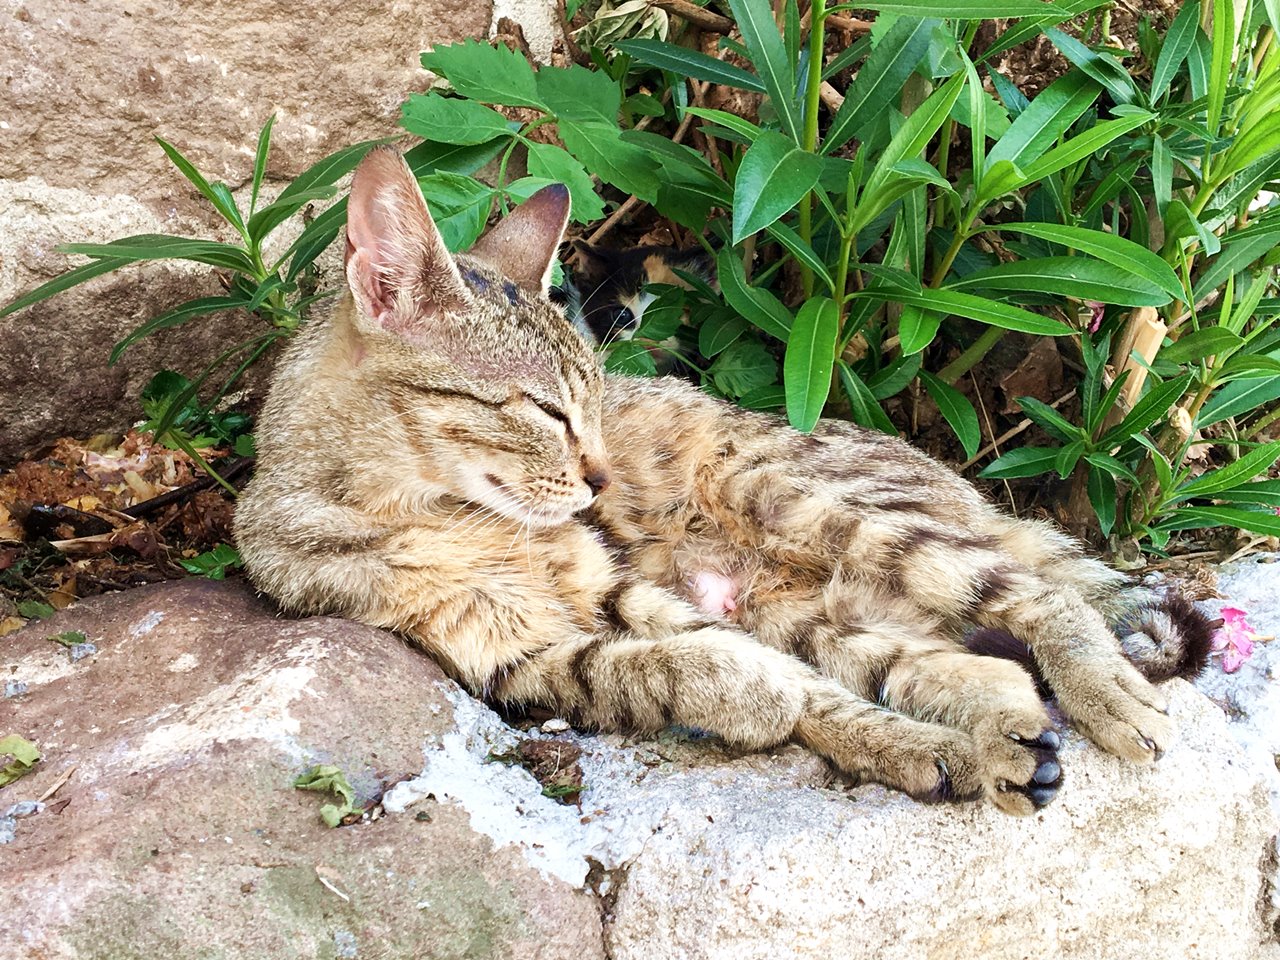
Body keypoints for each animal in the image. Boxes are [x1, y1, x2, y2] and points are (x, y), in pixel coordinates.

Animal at [238, 146, 1208, 814]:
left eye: (594, 401)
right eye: (547, 410)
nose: (600, 480)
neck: (436, 511)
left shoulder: (612, 584)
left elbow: (728, 662)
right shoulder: (509, 660)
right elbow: (672, 668)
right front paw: (806, 713)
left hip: (800, 499)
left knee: (1040, 597)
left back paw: (1100, 694)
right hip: (811, 611)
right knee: (947, 662)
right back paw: (995, 739)